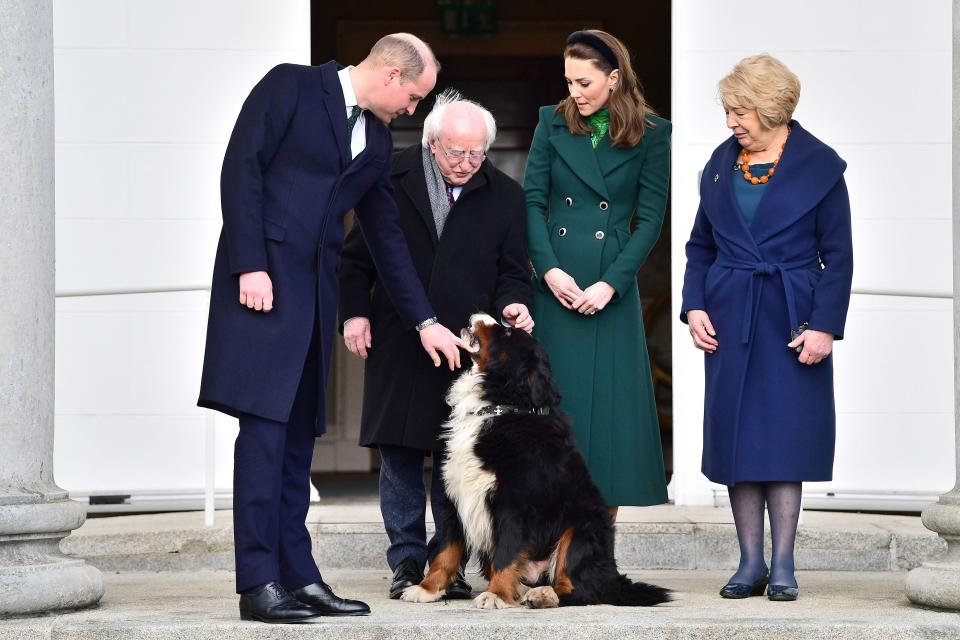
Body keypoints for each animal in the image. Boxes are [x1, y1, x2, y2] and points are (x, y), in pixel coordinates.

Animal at [402, 316, 672, 608]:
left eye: (508, 332)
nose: (479, 315)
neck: (501, 407)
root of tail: (611, 575)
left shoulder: (513, 503)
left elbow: (506, 553)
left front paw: (495, 595)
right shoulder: (457, 497)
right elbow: (445, 551)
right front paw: (426, 588)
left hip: (580, 530)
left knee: (579, 590)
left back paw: (543, 595)